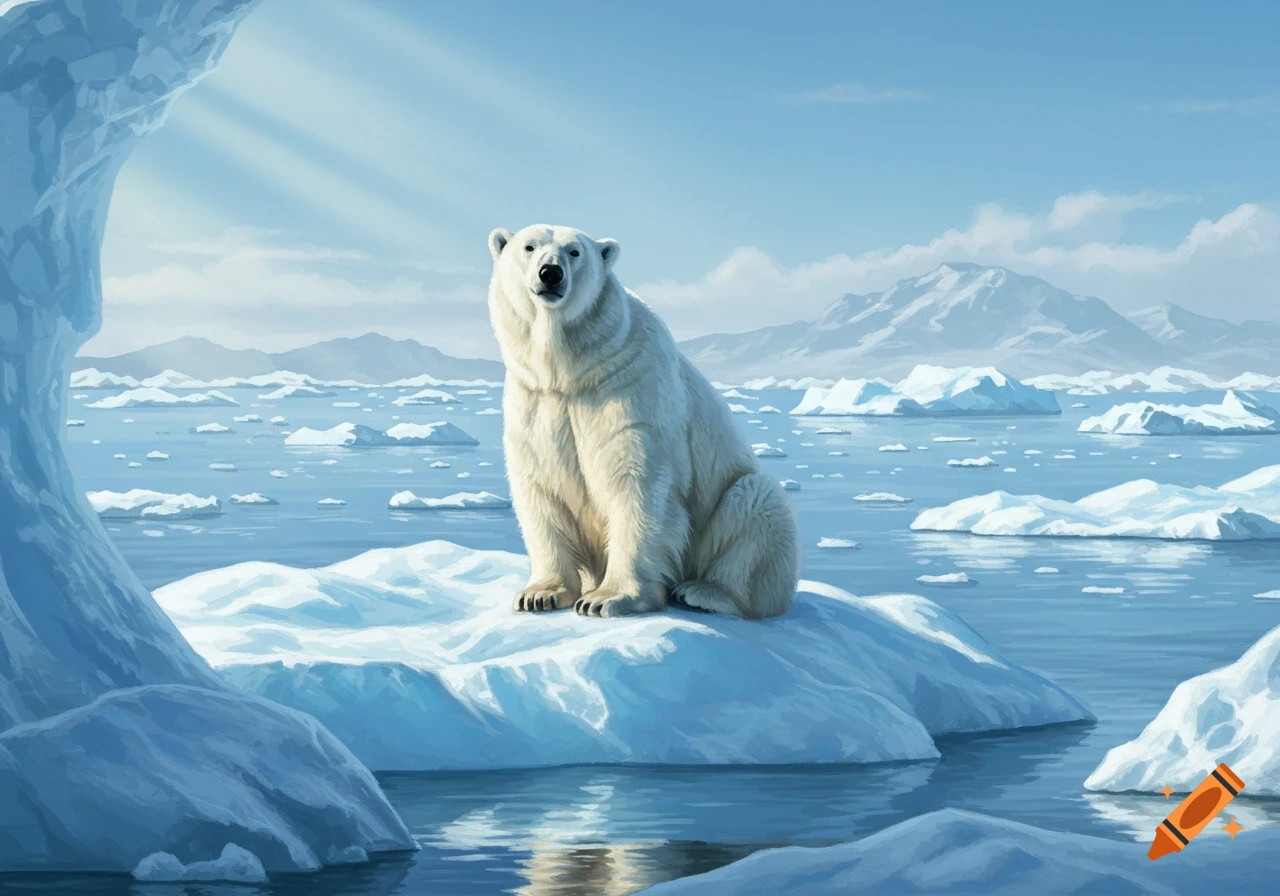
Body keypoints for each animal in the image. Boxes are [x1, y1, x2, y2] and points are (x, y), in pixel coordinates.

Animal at [487, 223, 800, 619]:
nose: (551, 273)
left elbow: (635, 480)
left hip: (735, 514)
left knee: (758, 503)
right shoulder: (536, 398)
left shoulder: (629, 382)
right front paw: (539, 594)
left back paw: (703, 591)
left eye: (575, 252)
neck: (571, 370)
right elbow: (542, 486)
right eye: (529, 247)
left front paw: (606, 598)